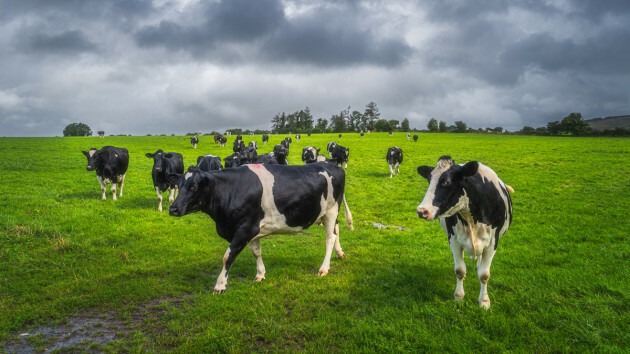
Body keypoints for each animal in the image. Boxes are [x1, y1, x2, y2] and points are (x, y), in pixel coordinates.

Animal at [168, 163, 356, 294]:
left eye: (193, 187)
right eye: (179, 185)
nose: (173, 209)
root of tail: (333, 165)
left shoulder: (245, 229)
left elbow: (227, 257)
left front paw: (220, 285)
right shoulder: (252, 230)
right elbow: (256, 252)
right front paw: (260, 274)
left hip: (331, 210)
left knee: (330, 238)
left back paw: (324, 268)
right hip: (328, 213)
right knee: (336, 230)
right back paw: (340, 253)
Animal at [420, 156, 512, 308]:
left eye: (446, 182)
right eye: (429, 180)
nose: (422, 211)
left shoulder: (493, 242)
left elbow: (484, 275)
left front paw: (484, 301)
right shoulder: (453, 240)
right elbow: (460, 270)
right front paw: (459, 296)